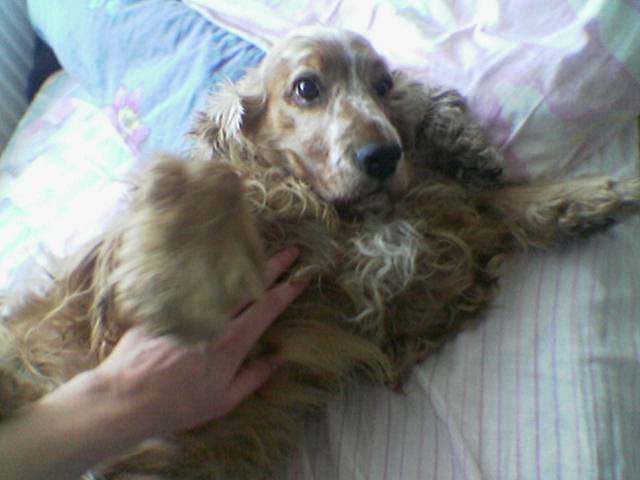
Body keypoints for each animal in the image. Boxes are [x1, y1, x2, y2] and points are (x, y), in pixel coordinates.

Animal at [1, 26, 639, 479]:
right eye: (307, 87)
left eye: (383, 86)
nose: (384, 155)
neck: (339, 218)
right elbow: (214, 186)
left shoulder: (407, 291)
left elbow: (490, 209)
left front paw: (591, 195)